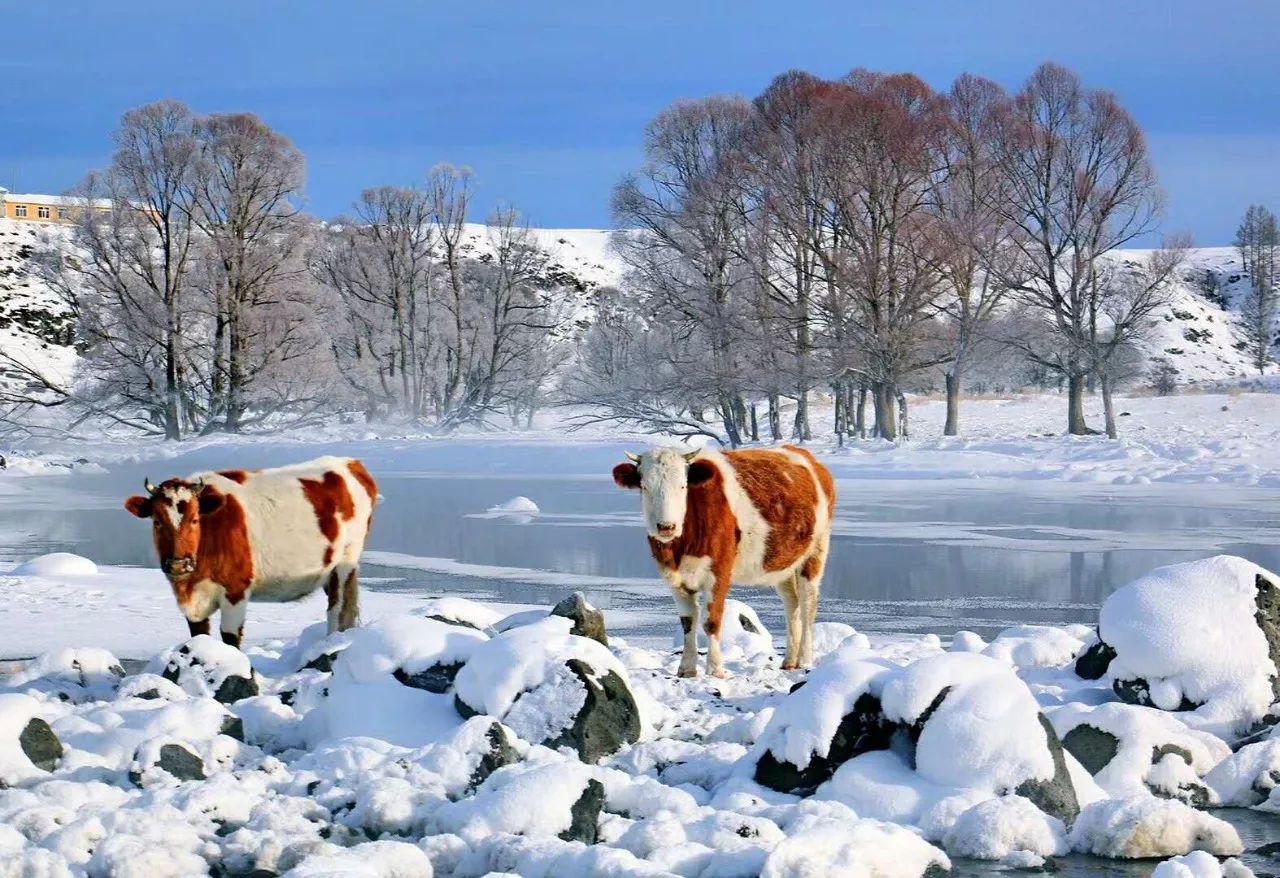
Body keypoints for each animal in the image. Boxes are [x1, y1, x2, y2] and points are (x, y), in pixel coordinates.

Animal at [122, 458, 376, 650]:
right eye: (157, 521)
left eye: (194, 519)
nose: (178, 564)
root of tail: (350, 462)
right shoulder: (194, 603)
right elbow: (199, 637)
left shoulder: (236, 588)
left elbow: (230, 638)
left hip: (344, 564)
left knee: (337, 609)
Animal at [611, 447, 834, 680]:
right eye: (644, 487)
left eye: (683, 486)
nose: (666, 527)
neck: (681, 546)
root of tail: (799, 452)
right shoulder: (674, 577)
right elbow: (688, 622)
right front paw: (687, 669)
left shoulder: (718, 573)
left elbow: (711, 621)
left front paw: (715, 669)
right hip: (783, 564)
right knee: (792, 604)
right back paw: (790, 661)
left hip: (816, 551)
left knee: (808, 604)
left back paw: (805, 659)